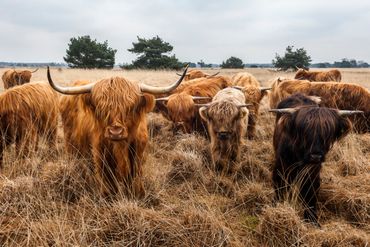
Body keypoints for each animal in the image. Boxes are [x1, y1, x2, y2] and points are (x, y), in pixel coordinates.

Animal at [48, 65, 188, 197]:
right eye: (101, 107)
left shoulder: (138, 153)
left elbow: (135, 175)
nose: (115, 132)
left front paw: (138, 193)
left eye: (131, 107)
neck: (121, 146)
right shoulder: (101, 154)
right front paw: (108, 195)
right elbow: (109, 180)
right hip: (71, 144)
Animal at [268, 93, 362, 225]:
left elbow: (310, 193)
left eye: (328, 133)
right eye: (304, 131)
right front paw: (277, 206)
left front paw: (312, 219)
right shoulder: (281, 168)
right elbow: (280, 188)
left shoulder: (312, 172)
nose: (315, 156)